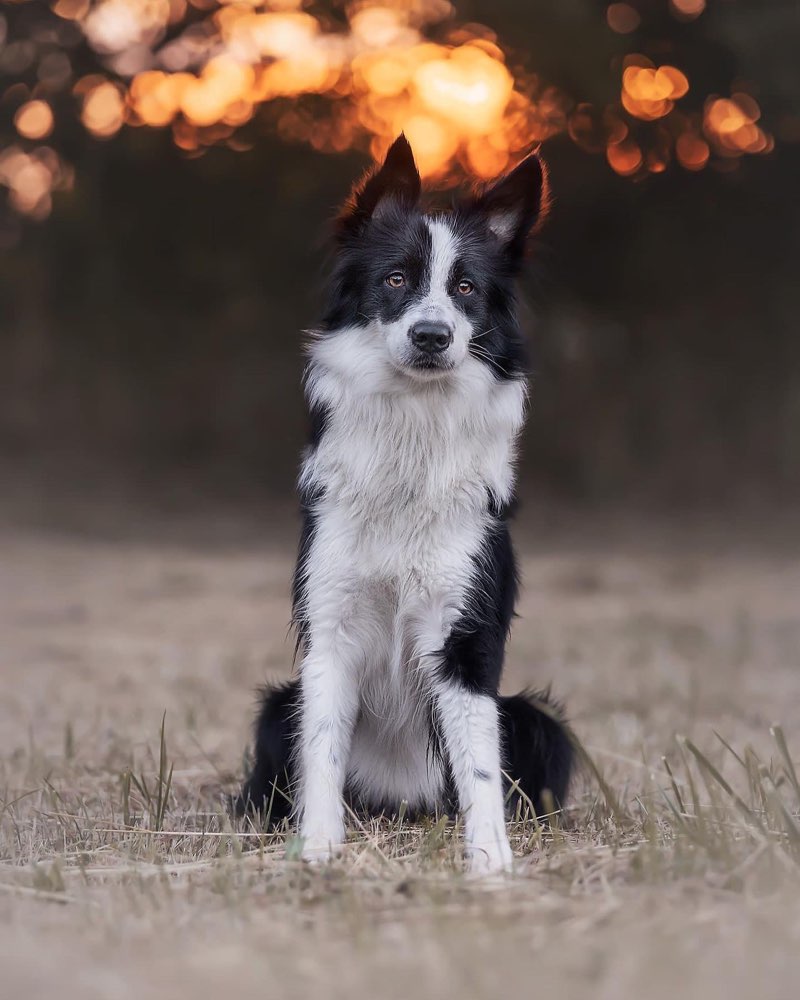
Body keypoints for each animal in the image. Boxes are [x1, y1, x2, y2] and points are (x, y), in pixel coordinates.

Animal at [238, 137, 576, 872]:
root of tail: (403, 806)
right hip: (275, 707)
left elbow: (480, 769)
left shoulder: (466, 640)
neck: (411, 439)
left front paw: (491, 865)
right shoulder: (330, 632)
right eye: (396, 279)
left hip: (536, 720)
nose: (431, 336)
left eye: (466, 288)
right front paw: (318, 851)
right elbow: (323, 753)